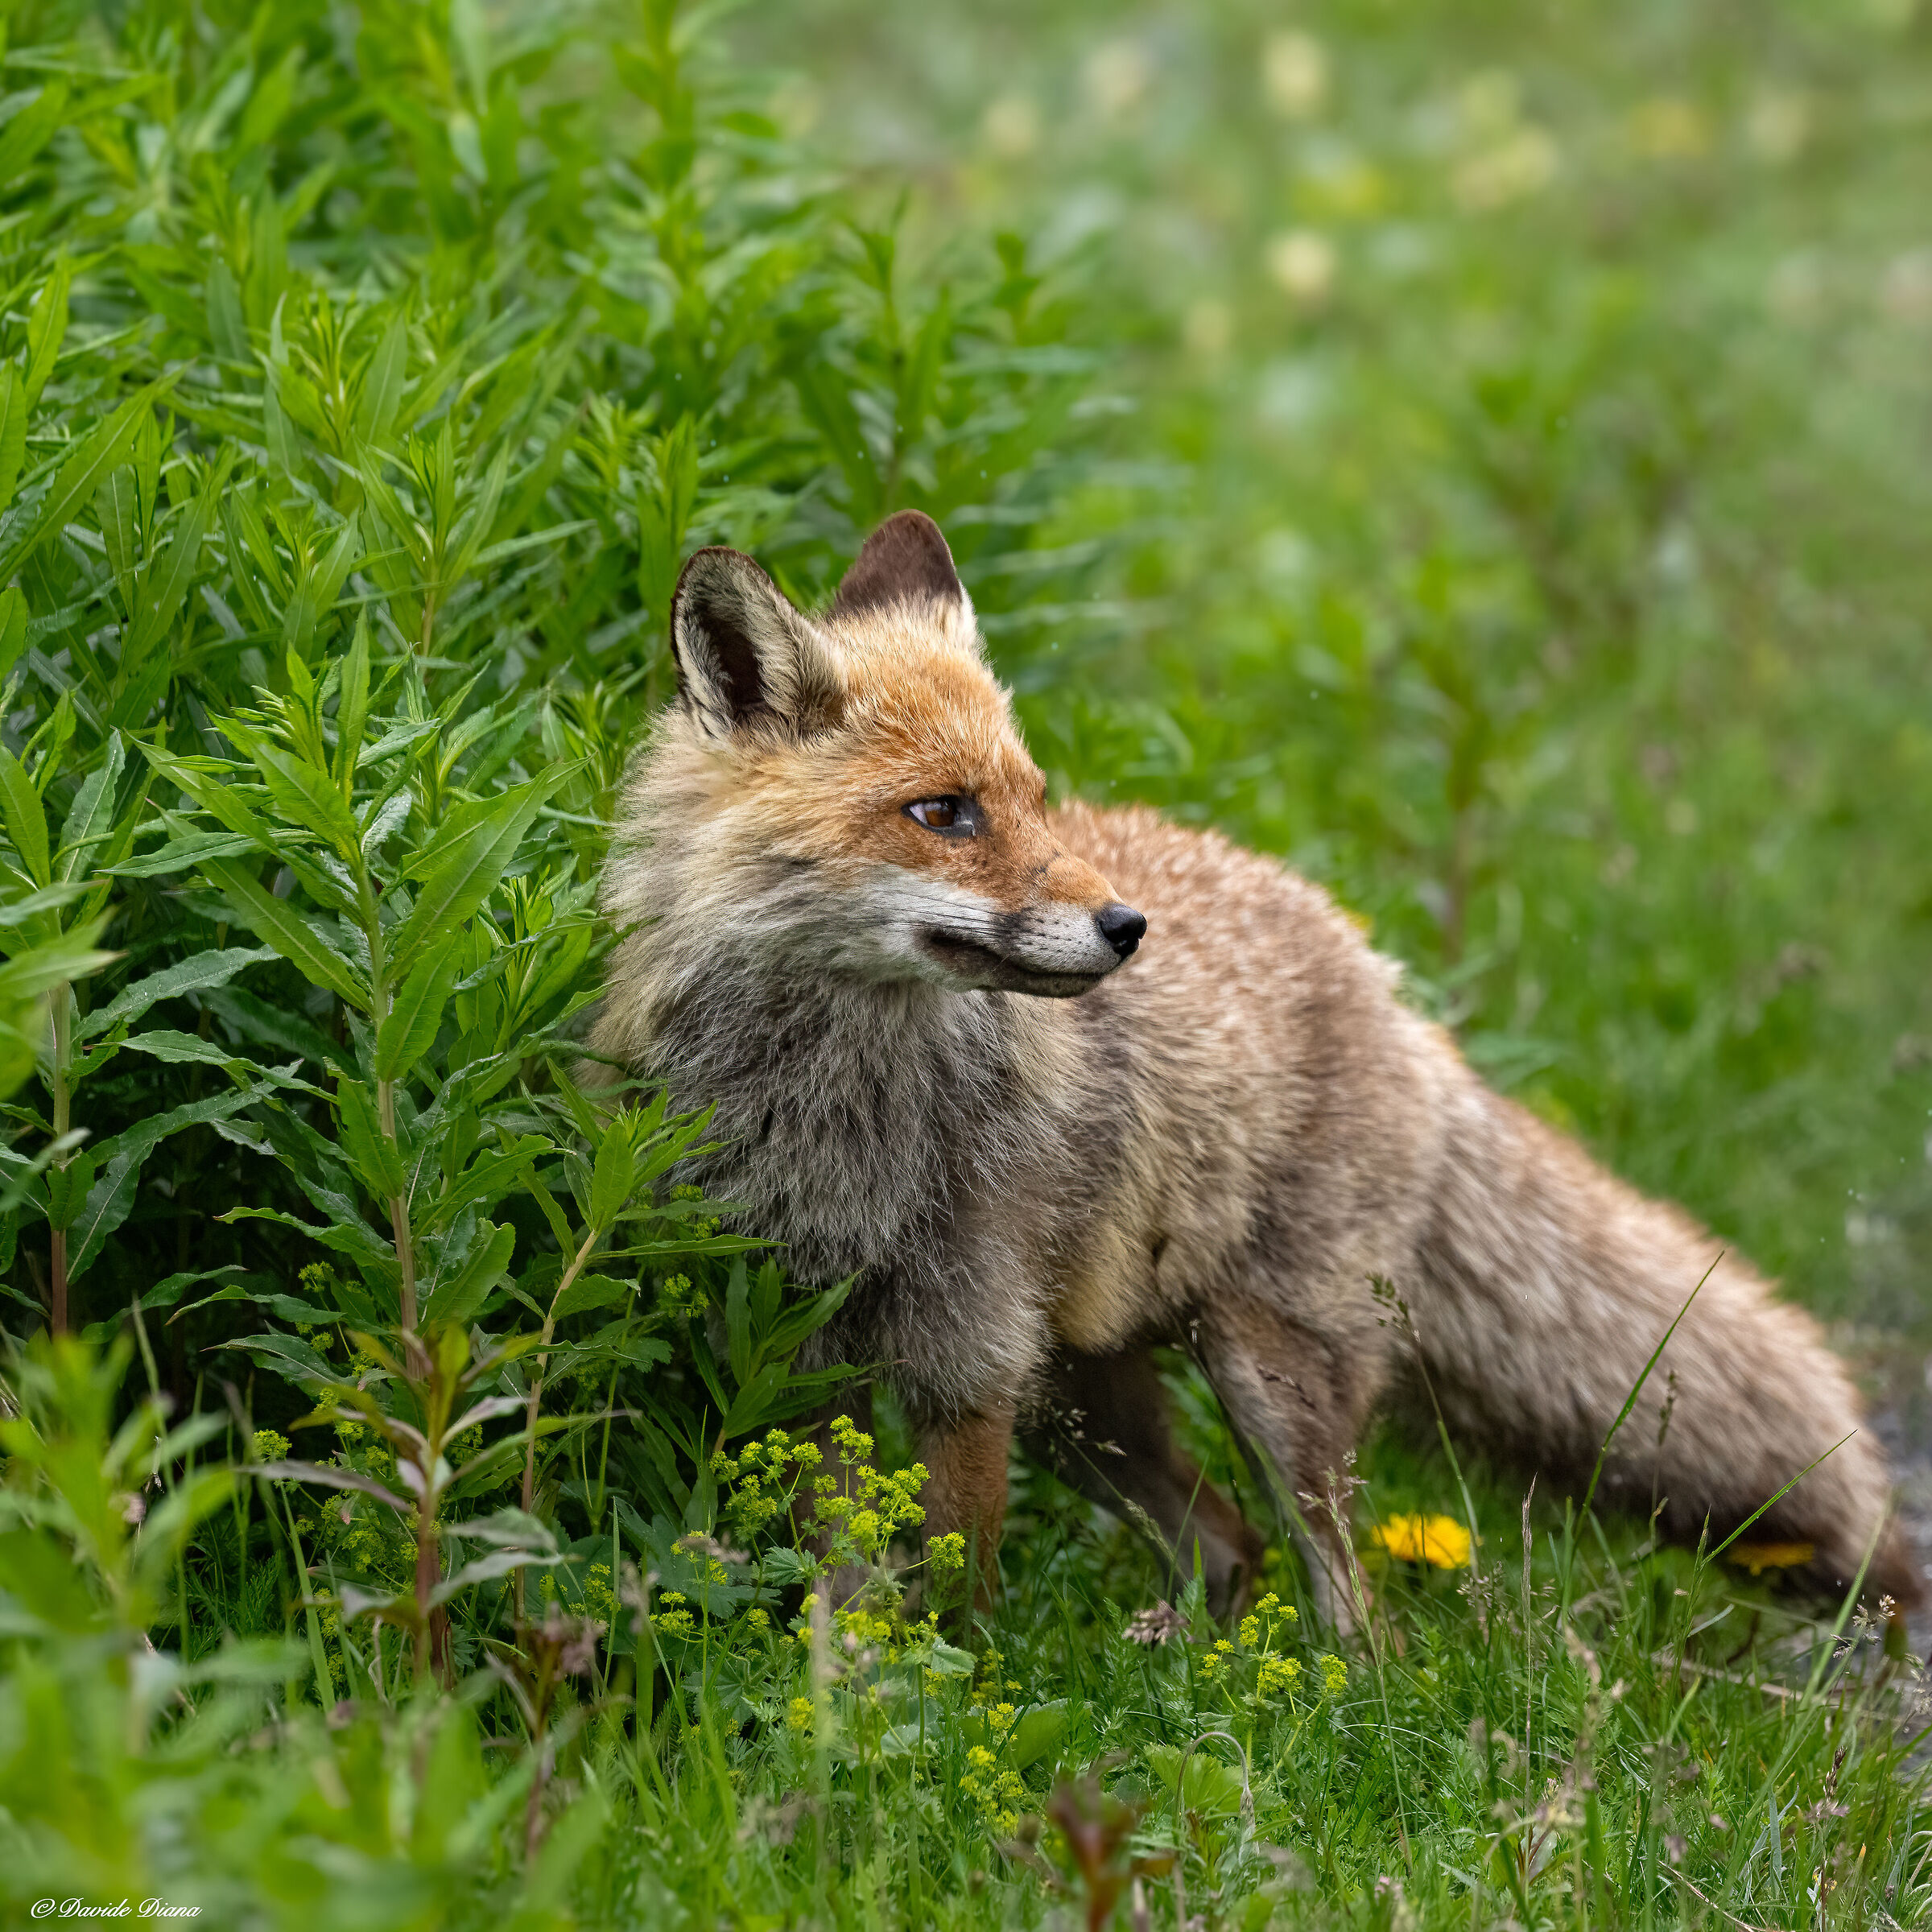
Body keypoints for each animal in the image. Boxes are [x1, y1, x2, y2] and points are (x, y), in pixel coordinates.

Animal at [591, 508, 1918, 1624]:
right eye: (944, 813)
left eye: (1035, 798)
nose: (1127, 927)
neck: (835, 1119)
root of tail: (1389, 984)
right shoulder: (801, 1353)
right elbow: (845, 1588)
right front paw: (843, 1723)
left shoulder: (966, 1362)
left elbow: (955, 1593)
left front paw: (936, 1714)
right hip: (1084, 1399)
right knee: (1226, 1543)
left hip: (1258, 1377)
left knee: (1343, 1595)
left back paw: (1327, 1716)